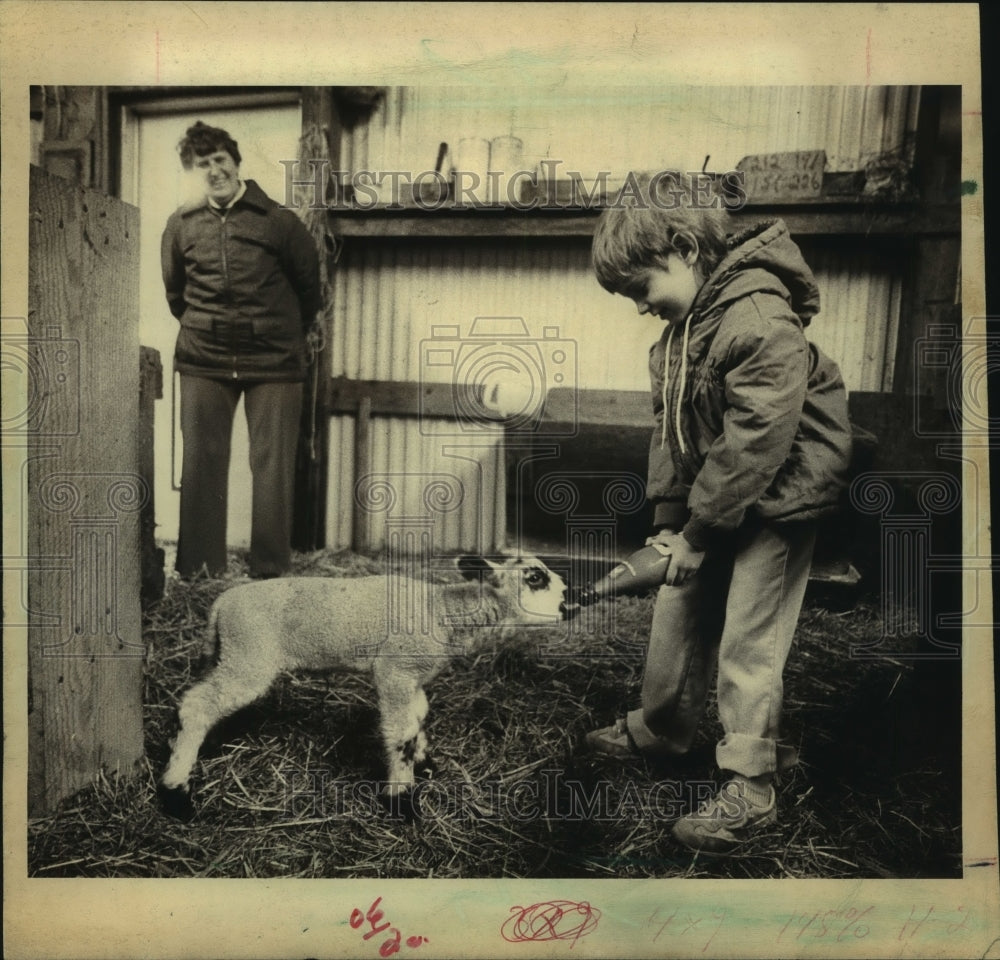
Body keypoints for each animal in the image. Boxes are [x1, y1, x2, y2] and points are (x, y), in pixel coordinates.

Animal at [160, 556, 576, 816]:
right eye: (535, 577)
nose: (575, 599)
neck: (442, 610)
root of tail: (221, 603)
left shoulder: (414, 676)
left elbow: (418, 718)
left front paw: (424, 763)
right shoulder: (395, 670)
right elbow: (400, 732)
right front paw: (401, 798)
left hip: (229, 654)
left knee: (202, 702)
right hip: (249, 655)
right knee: (197, 705)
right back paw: (176, 792)